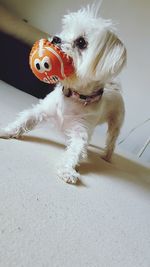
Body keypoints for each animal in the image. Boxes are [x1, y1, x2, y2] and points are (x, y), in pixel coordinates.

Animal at [0, 5, 126, 184]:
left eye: (81, 42)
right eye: (65, 30)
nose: (56, 39)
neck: (73, 95)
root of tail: (114, 86)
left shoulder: (81, 132)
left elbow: (75, 151)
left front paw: (67, 170)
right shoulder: (42, 110)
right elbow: (24, 120)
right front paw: (6, 130)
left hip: (115, 124)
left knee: (111, 142)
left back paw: (107, 157)